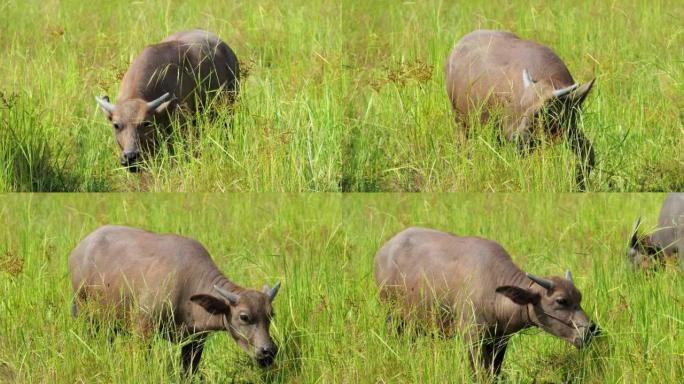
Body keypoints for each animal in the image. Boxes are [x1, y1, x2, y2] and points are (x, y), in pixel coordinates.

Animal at [69, 225, 278, 372]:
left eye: (271, 315)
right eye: (244, 316)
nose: (268, 352)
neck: (188, 286)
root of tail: (79, 249)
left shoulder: (195, 341)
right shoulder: (143, 331)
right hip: (85, 312)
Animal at [374, 226, 600, 376]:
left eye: (579, 297)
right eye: (561, 301)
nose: (591, 330)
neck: (495, 293)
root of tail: (383, 251)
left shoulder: (500, 341)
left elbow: (494, 371)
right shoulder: (472, 339)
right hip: (392, 316)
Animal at [446, 28, 596, 188]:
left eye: (542, 111)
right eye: (522, 107)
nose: (516, 136)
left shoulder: (569, 128)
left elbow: (588, 153)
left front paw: (581, 184)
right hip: (461, 121)